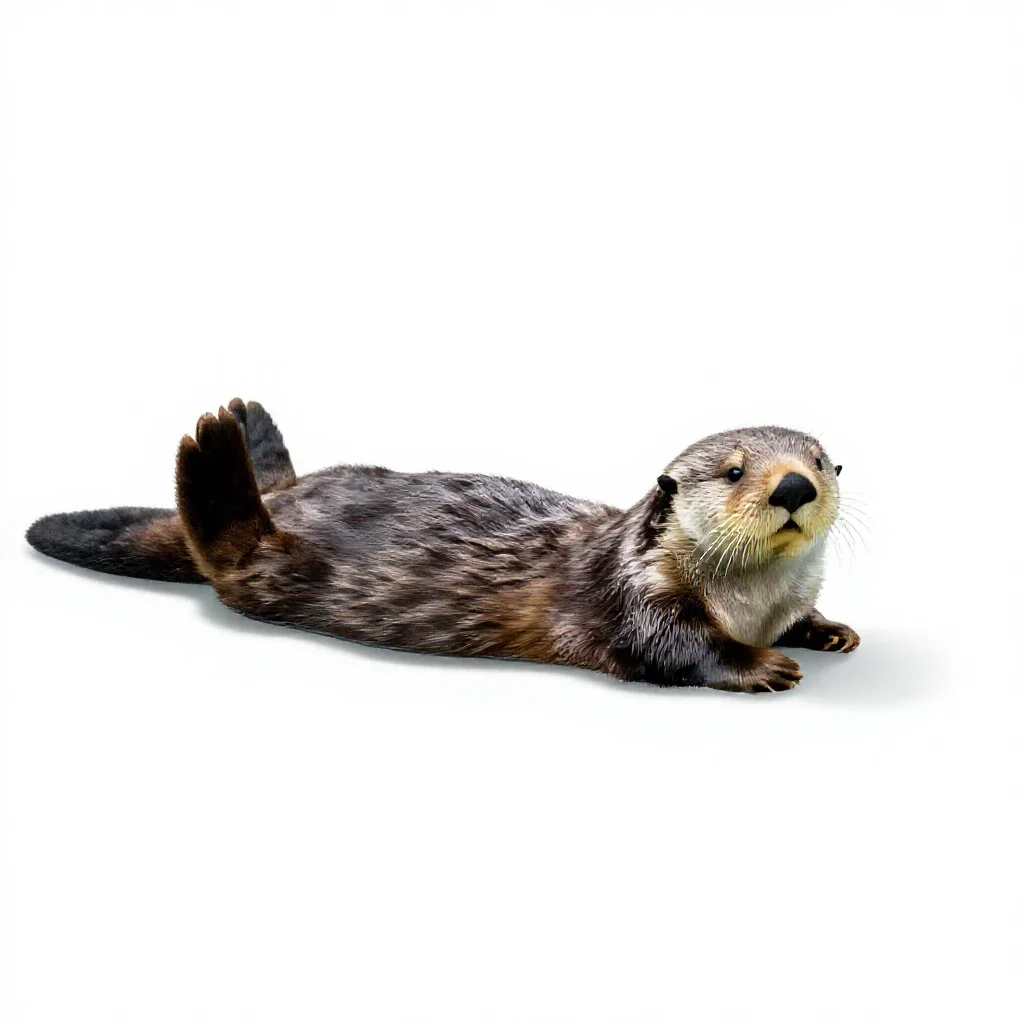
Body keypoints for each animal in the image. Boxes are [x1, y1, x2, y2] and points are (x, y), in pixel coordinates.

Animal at [26, 399, 860, 692]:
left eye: (822, 461)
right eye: (734, 470)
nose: (793, 486)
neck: (750, 604)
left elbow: (805, 617)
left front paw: (828, 631)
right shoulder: (633, 593)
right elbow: (668, 645)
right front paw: (759, 664)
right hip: (270, 567)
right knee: (227, 546)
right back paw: (220, 438)